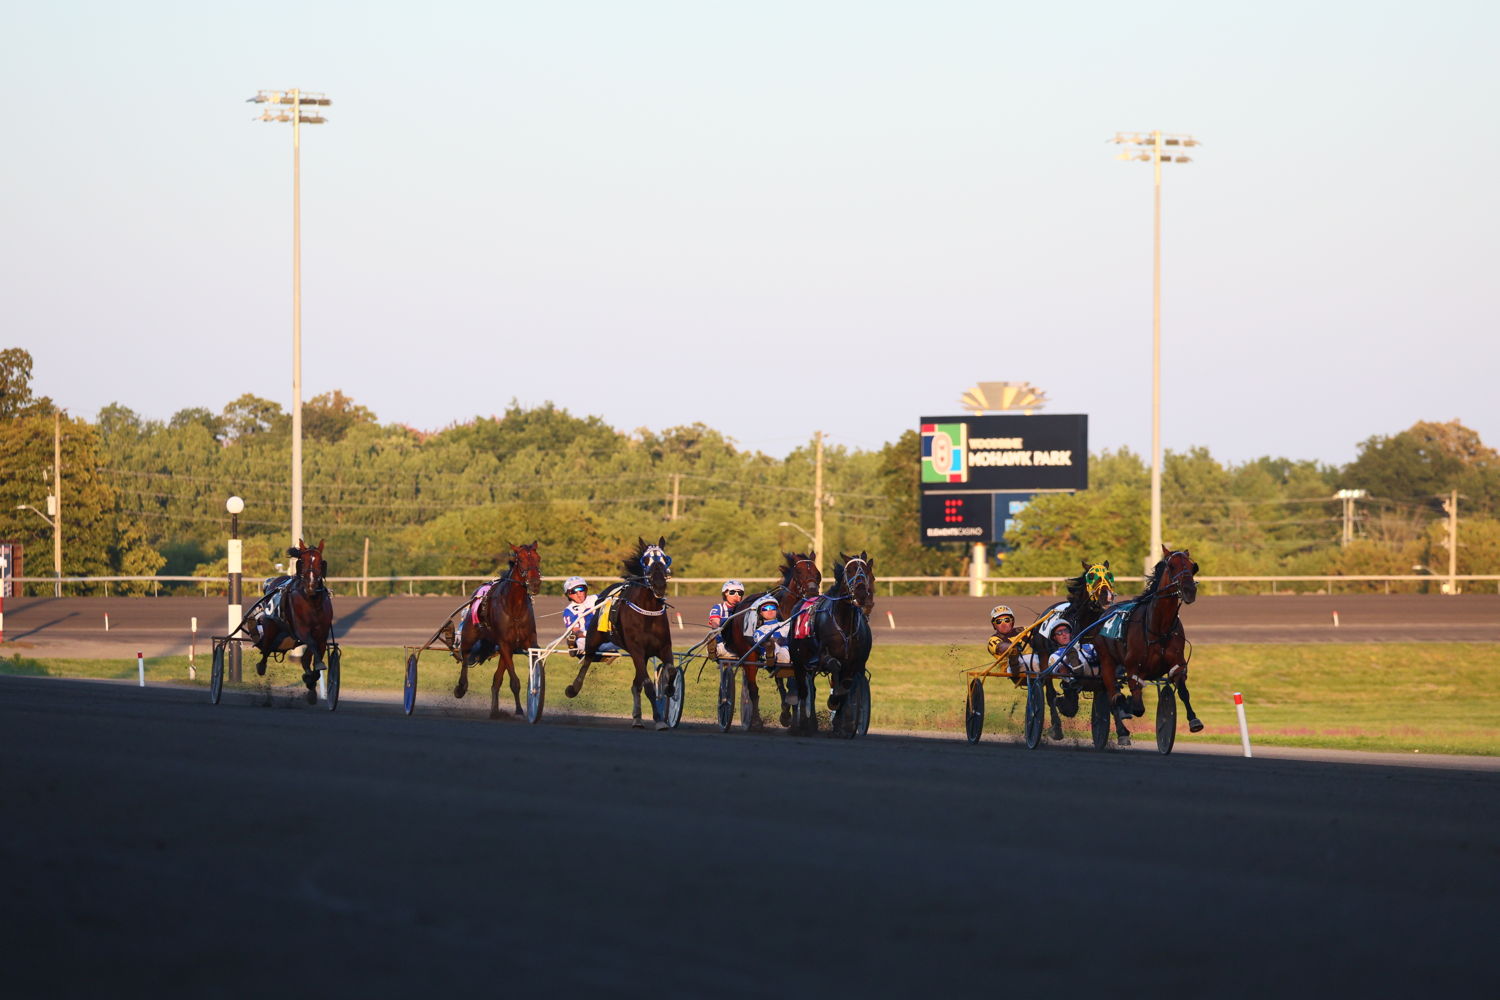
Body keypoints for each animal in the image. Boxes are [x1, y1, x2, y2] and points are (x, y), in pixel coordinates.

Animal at [252, 539, 334, 704]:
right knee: (266, 646)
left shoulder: (321, 635)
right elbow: (311, 648)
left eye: (320, 561)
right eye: (302, 561)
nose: (311, 585)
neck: (312, 602)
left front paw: (310, 680)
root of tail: (272, 581)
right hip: (271, 624)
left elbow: (313, 658)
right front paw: (310, 676)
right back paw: (261, 666)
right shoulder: (301, 630)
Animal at [450, 542, 546, 716]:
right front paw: (520, 710)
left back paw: (495, 709)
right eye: (521, 559)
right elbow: (514, 681)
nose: (535, 583)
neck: (515, 608)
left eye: (538, 558)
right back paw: (461, 687)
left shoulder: (527, 641)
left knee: (497, 679)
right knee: (465, 656)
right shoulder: (505, 643)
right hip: (469, 635)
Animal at [564, 536, 678, 731]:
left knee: (635, 685)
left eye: (665, 558)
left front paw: (669, 689)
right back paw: (574, 688)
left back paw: (637, 718)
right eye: (645, 560)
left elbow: (670, 670)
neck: (648, 611)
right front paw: (658, 719)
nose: (659, 584)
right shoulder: (637, 650)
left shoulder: (663, 646)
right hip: (594, 637)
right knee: (587, 658)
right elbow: (648, 685)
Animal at [1092, 542, 1206, 740]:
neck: (1159, 628)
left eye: (1193, 567)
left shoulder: (1177, 664)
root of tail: (1106, 612)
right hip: (1106, 661)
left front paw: (1194, 720)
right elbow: (1136, 706)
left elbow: (1183, 692)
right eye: (1171, 566)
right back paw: (1122, 730)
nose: (1189, 591)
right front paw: (1127, 705)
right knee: (1112, 696)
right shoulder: (1133, 668)